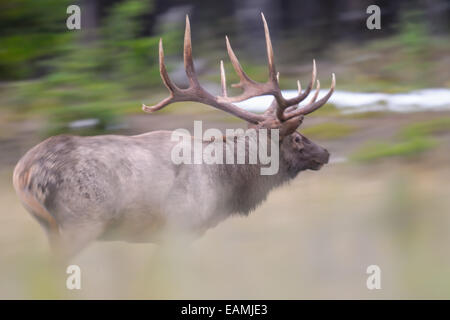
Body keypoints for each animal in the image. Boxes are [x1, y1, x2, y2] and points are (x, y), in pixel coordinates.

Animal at [13, 13, 334, 258]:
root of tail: (22, 173)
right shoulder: (180, 227)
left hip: (54, 227)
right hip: (79, 222)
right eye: (297, 137)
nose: (326, 152)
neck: (224, 187)